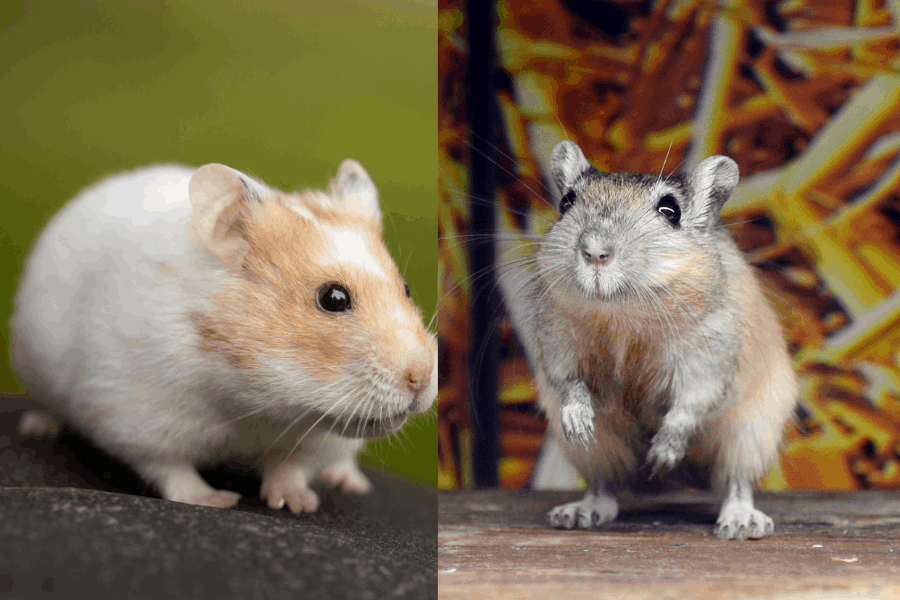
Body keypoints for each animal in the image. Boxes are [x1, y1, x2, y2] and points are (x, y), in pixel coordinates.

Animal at [9, 160, 437, 512]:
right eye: (333, 298)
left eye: (406, 289)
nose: (421, 378)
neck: (257, 403)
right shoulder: (135, 413)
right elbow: (171, 469)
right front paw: (218, 501)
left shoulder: (317, 440)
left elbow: (291, 467)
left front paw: (298, 504)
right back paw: (38, 426)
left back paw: (348, 480)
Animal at [497, 141, 798, 539]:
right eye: (566, 201)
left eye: (670, 211)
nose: (595, 252)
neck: (623, 316)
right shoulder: (558, 345)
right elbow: (570, 385)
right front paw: (578, 421)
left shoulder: (710, 359)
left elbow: (689, 405)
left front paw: (661, 454)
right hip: (599, 451)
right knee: (603, 483)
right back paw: (582, 511)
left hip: (752, 430)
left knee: (737, 481)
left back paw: (739, 521)